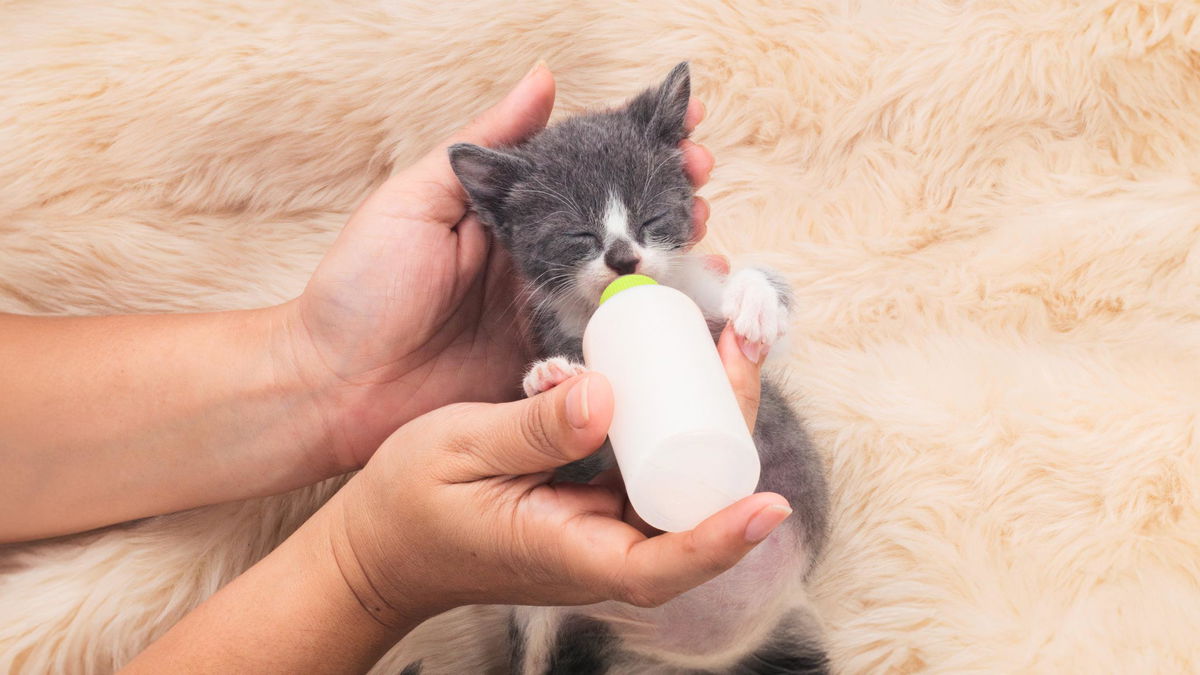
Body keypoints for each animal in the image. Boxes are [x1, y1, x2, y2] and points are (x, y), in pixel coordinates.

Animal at [446, 61, 830, 667]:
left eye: (652, 217)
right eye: (578, 234)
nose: (624, 258)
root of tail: (677, 657)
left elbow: (767, 328)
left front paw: (757, 298)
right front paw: (550, 378)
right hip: (544, 612)